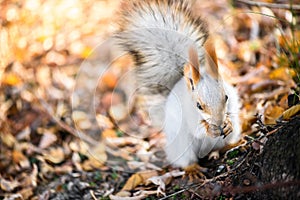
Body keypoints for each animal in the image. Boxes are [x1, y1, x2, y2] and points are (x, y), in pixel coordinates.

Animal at [113, 0, 240, 168]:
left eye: (226, 97)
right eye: (198, 105)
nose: (219, 122)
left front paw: (228, 124)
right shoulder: (188, 113)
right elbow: (196, 128)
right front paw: (209, 129)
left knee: (220, 146)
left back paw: (224, 148)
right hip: (181, 144)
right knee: (186, 159)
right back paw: (192, 168)